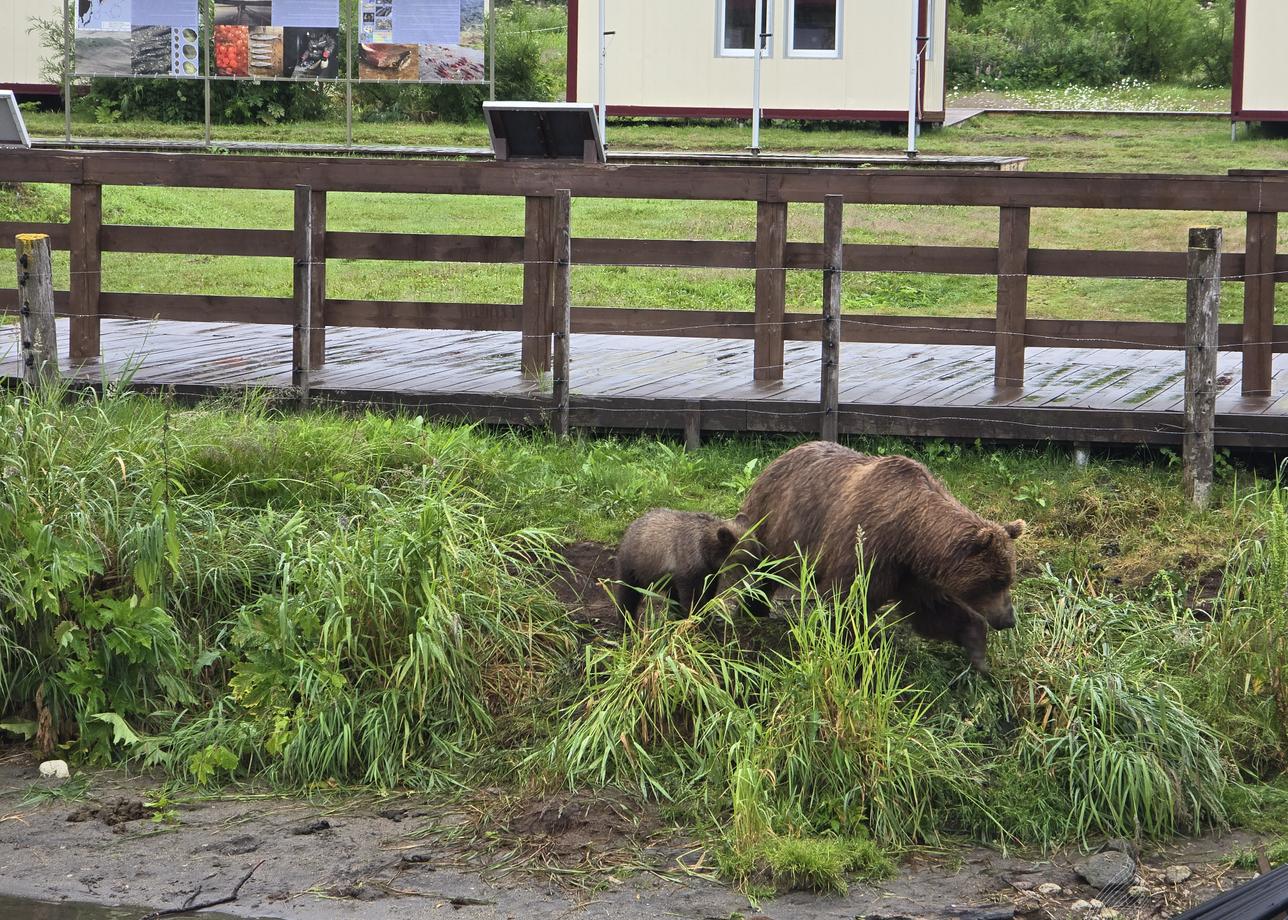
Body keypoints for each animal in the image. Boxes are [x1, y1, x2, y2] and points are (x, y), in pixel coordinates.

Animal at [736, 440, 1025, 670]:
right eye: (995, 582)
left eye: (1009, 578)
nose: (1009, 619)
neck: (911, 536)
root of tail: (777, 459)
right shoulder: (868, 548)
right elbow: (847, 603)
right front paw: (855, 653)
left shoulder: (911, 573)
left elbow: (933, 612)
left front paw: (978, 652)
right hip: (775, 525)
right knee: (764, 571)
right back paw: (752, 609)